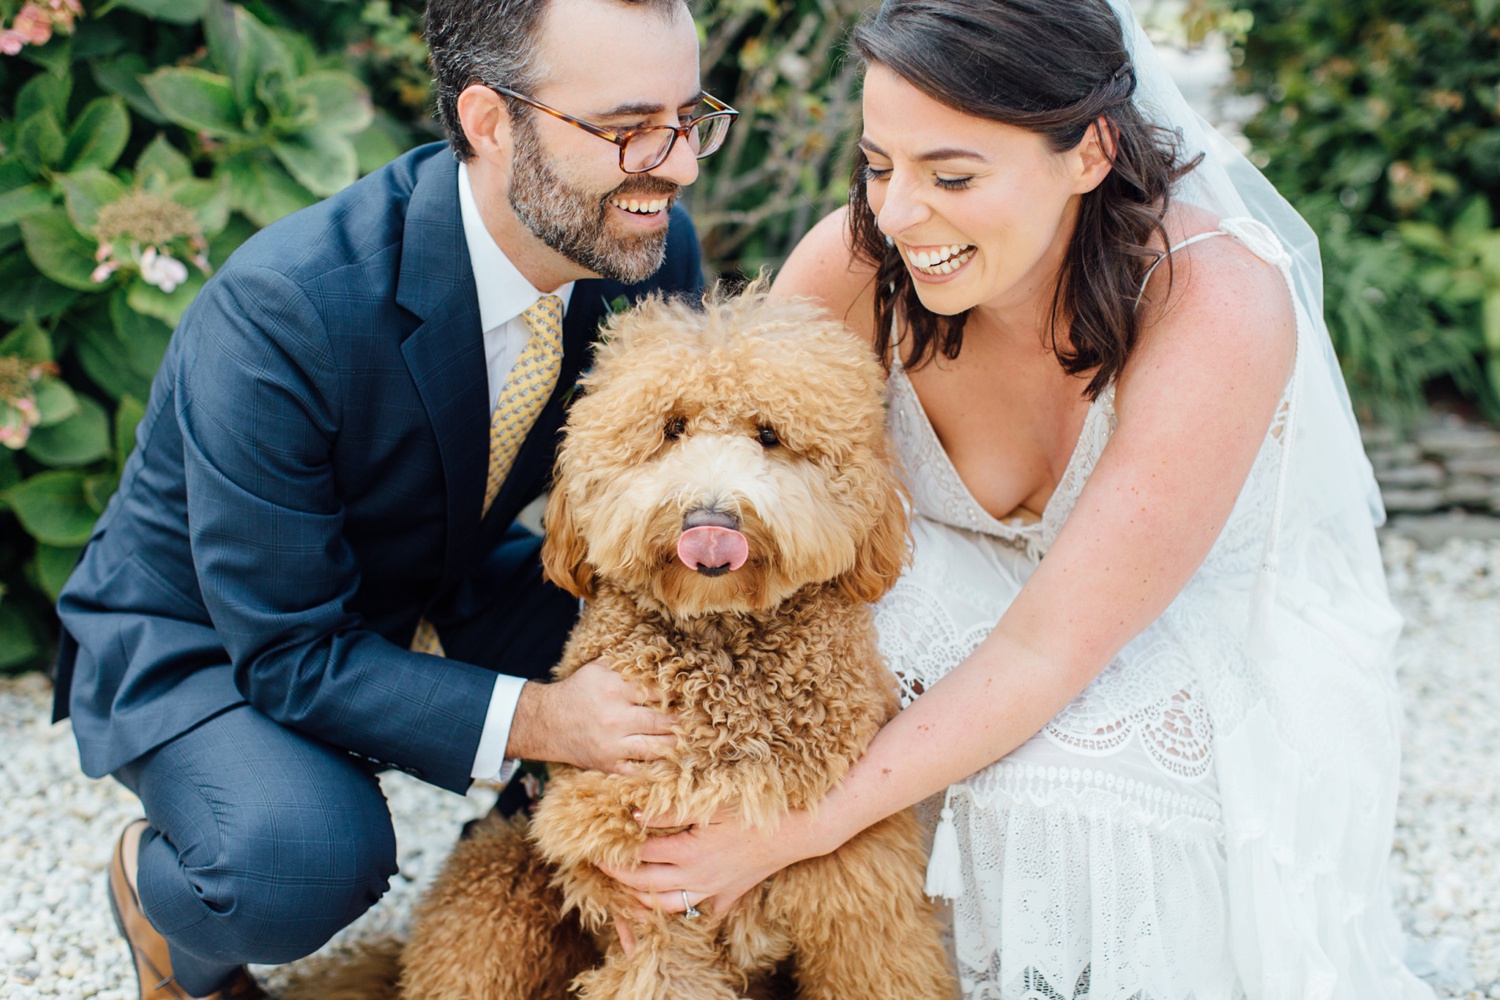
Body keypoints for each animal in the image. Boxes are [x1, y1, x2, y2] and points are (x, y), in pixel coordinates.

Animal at [301, 289, 948, 1000]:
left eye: (769, 434)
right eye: (671, 428)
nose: (710, 520)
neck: (724, 648)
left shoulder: (854, 873)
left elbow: (884, 965)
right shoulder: (647, 886)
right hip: (499, 886)